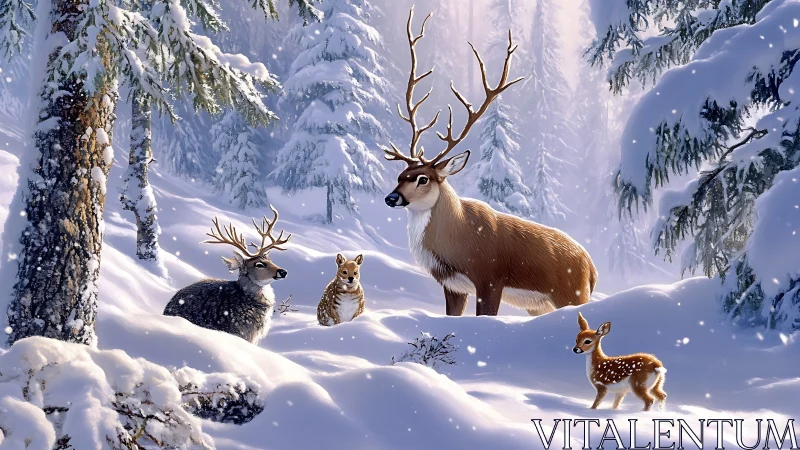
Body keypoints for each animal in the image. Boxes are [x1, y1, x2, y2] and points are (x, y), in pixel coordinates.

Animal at [382, 8, 598, 317]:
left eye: (423, 178)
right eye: (401, 175)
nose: (391, 197)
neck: (456, 243)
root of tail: (592, 268)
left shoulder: (490, 278)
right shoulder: (453, 286)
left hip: (571, 292)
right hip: (541, 305)